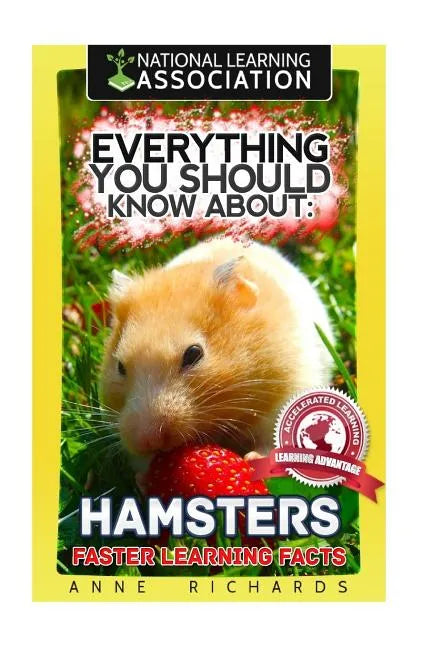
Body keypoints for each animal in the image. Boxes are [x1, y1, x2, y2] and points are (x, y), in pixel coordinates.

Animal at [101, 238, 334, 464]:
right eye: (120, 366)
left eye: (193, 353)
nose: (147, 440)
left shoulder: (288, 390)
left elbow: (272, 437)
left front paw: (252, 458)